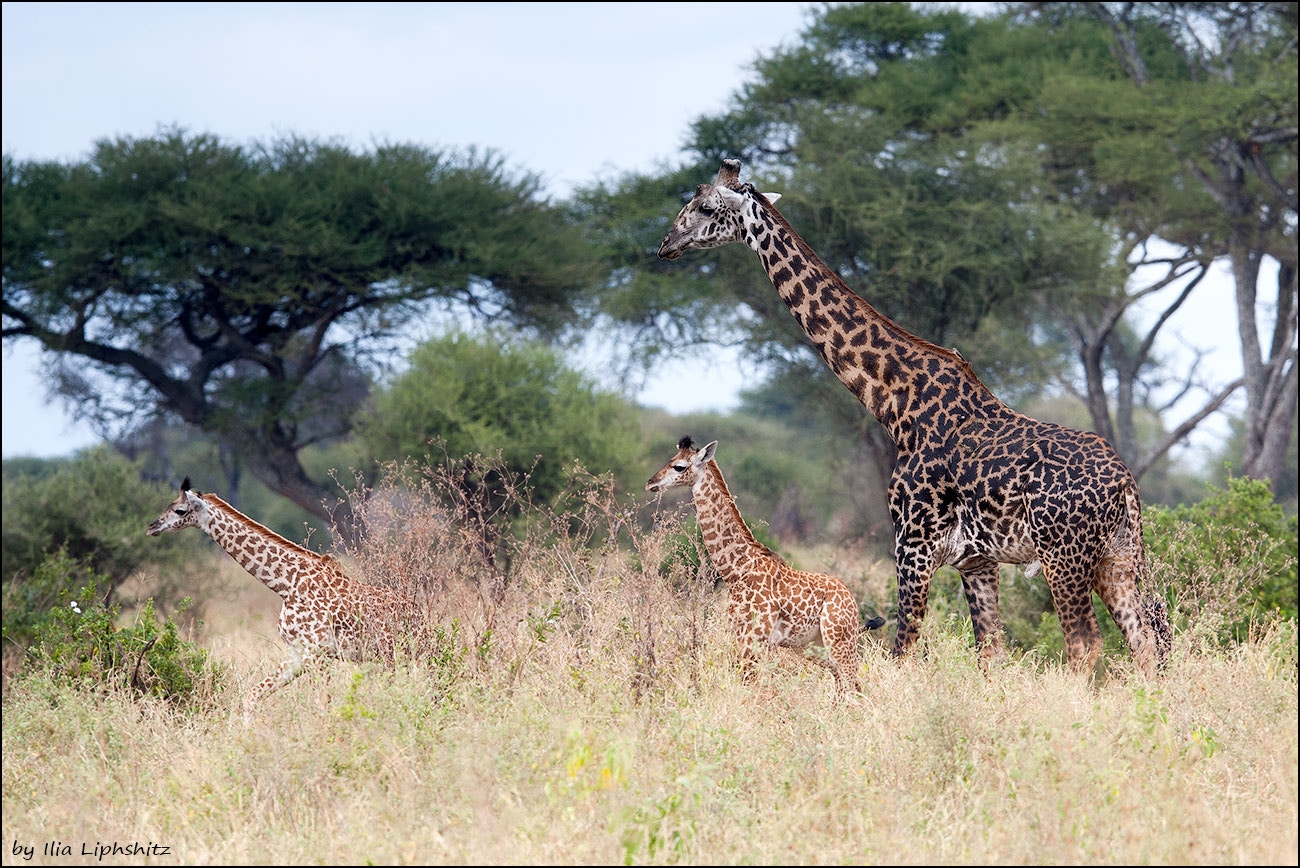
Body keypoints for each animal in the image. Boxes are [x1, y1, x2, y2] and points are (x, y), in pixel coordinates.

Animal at [147, 478, 421, 722]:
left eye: (180, 510)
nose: (152, 526)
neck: (286, 585)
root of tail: (418, 614)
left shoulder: (318, 653)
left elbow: (323, 704)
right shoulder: (298, 654)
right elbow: (252, 695)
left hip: (393, 654)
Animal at [647, 436, 889, 701]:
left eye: (679, 466)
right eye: (670, 460)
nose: (651, 483)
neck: (736, 570)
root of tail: (851, 599)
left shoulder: (755, 638)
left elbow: (753, 689)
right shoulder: (741, 636)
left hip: (839, 640)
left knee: (853, 688)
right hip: (815, 646)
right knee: (845, 687)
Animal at [655, 162, 1175, 675]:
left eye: (705, 206)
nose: (665, 245)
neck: (893, 402)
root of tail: (1125, 483)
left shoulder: (913, 545)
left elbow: (901, 651)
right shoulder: (976, 562)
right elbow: (990, 655)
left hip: (1062, 557)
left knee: (1085, 645)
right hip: (1116, 558)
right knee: (1144, 642)